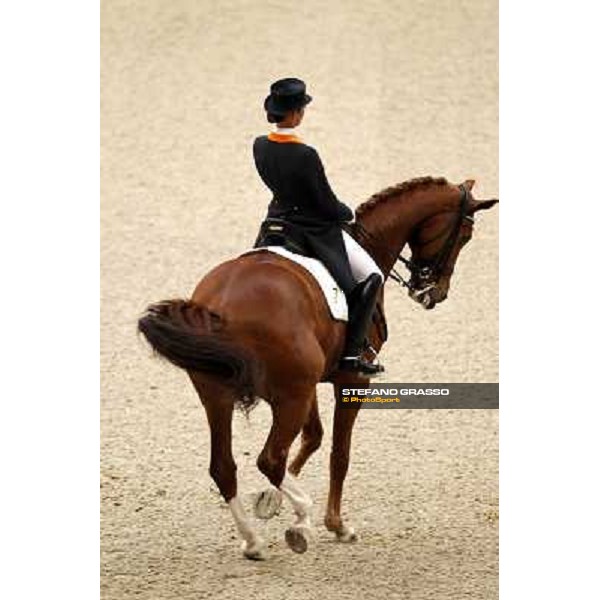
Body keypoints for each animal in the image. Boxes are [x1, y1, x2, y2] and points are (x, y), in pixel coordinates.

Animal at [139, 176, 496, 560]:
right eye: (464, 235)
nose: (433, 293)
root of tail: (221, 305)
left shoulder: (309, 382)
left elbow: (313, 437)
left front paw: (271, 500)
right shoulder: (351, 380)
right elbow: (339, 454)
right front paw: (336, 525)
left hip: (222, 397)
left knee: (225, 467)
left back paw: (253, 540)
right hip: (288, 397)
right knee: (269, 459)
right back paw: (301, 523)